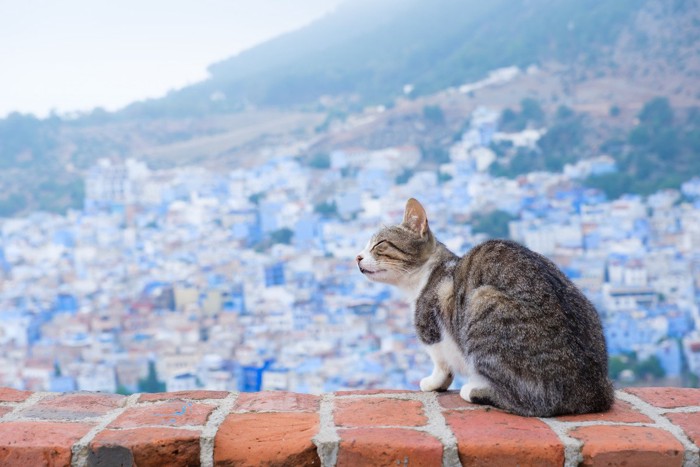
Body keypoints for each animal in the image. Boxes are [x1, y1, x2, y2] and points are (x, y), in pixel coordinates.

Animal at [358, 197, 616, 416]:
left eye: (379, 244)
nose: (357, 257)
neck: (427, 274)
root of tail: (596, 392)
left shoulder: (432, 329)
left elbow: (441, 363)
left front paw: (433, 382)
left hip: (483, 301)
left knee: (534, 403)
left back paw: (475, 390)